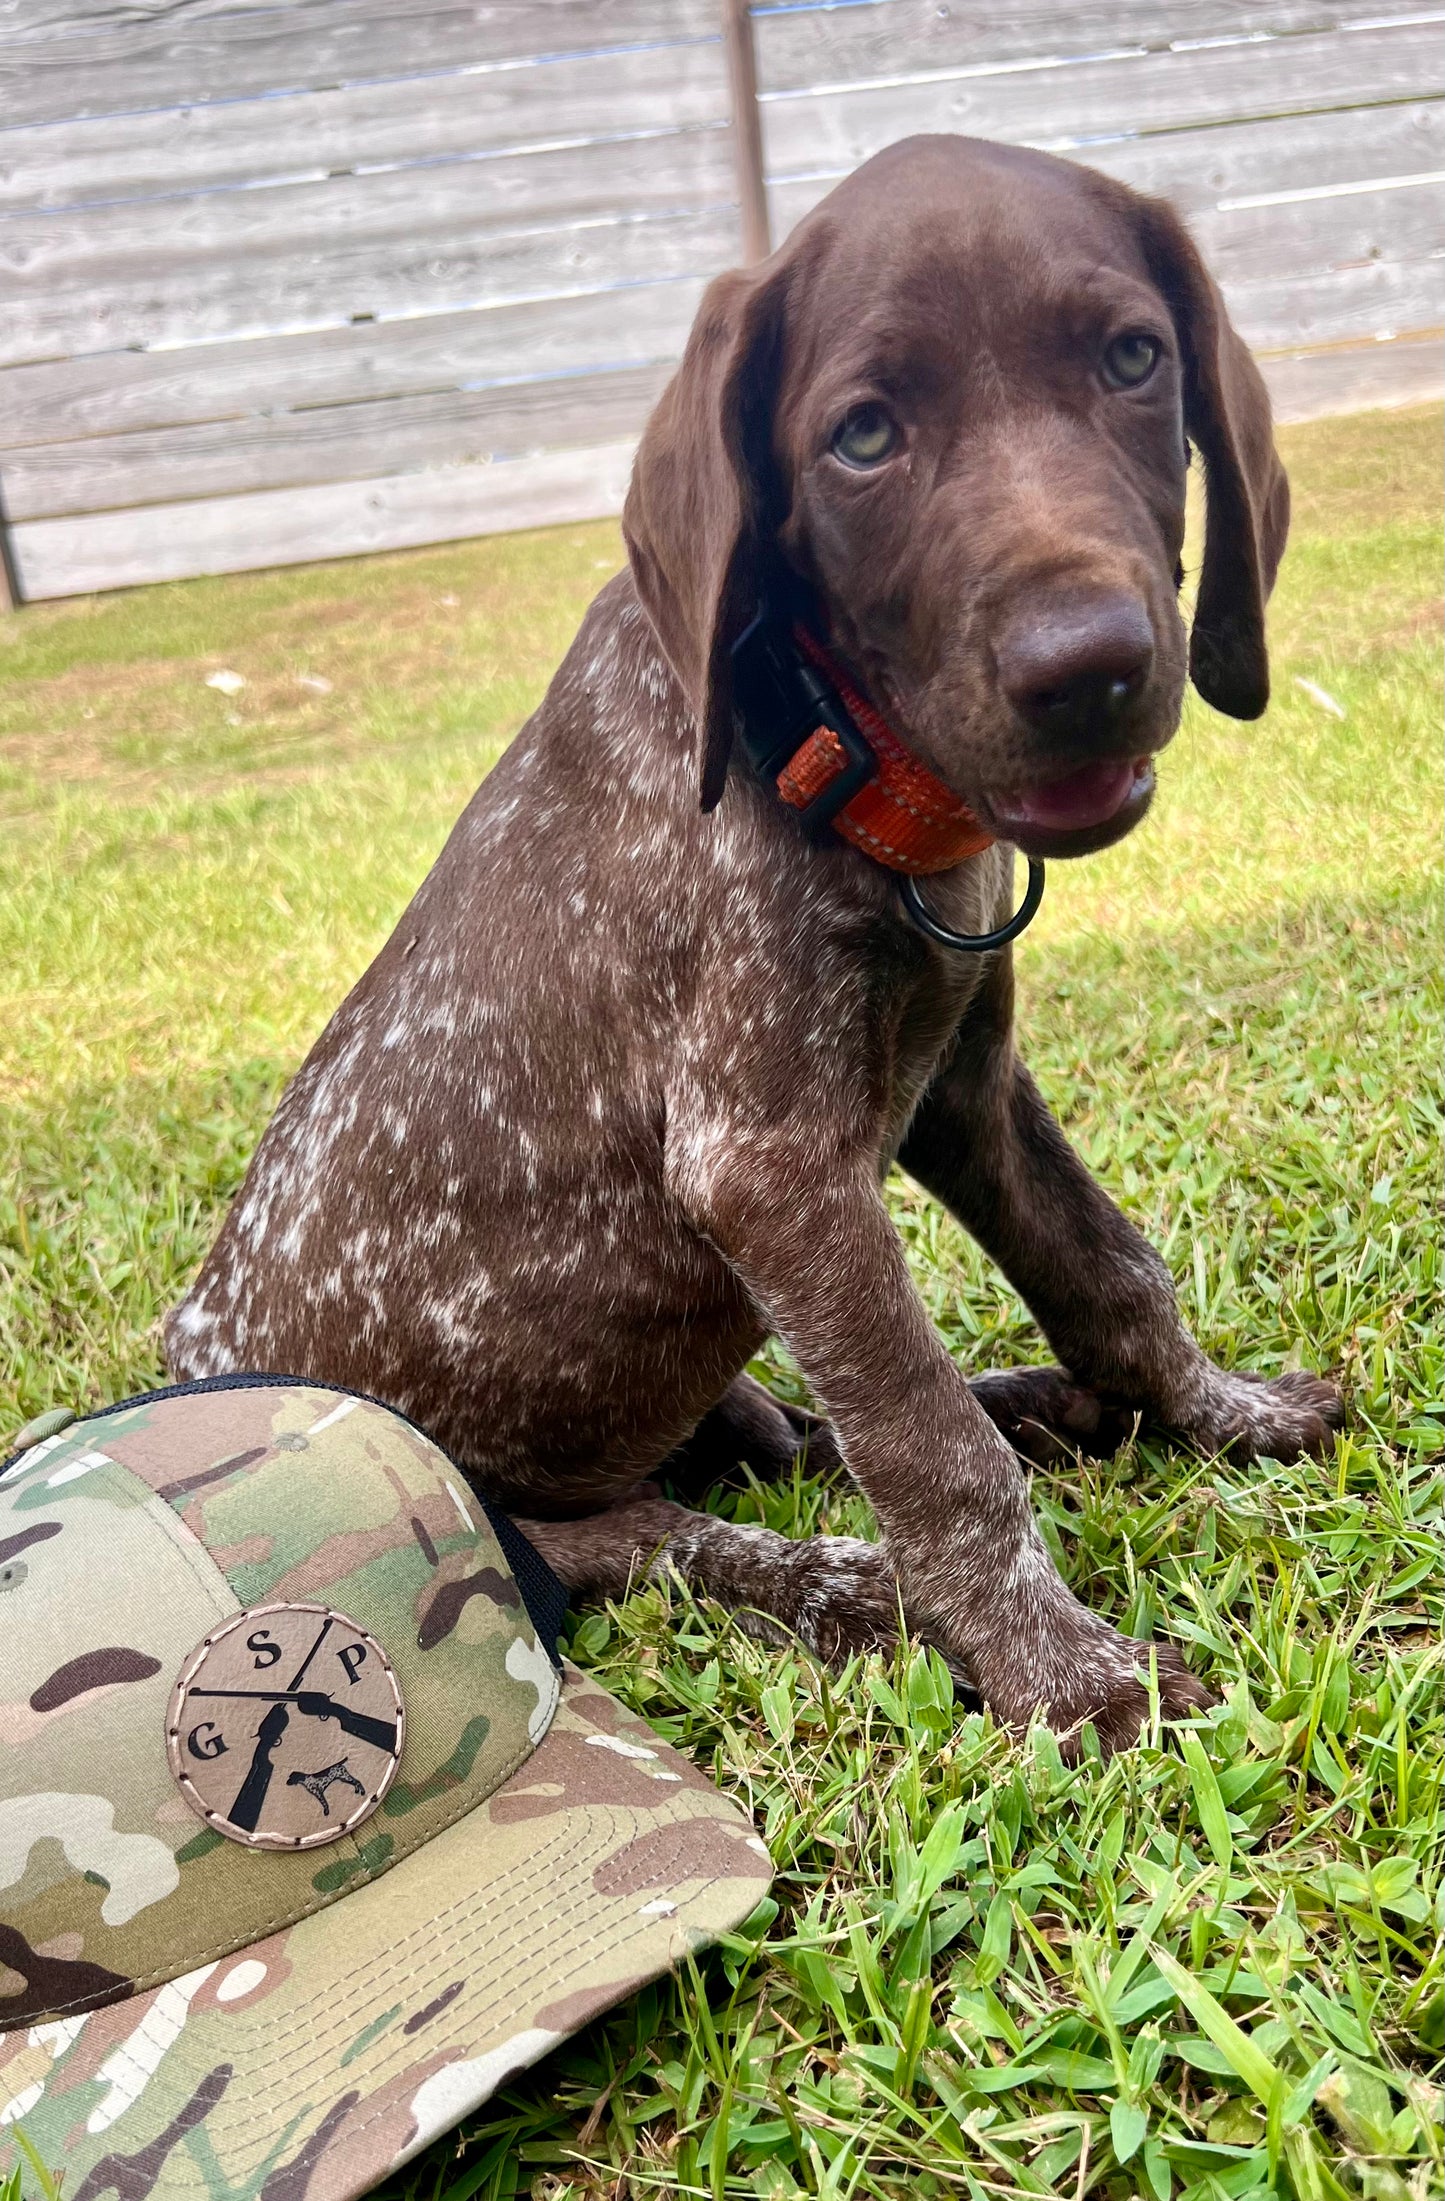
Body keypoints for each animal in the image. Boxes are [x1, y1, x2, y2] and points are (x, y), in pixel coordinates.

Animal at [169, 133, 1337, 1751]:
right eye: (862, 436)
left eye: (1129, 358)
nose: (1087, 670)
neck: (826, 734)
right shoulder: (767, 1166)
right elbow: (926, 1444)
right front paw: (1061, 1672)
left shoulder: (967, 1090)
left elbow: (1108, 1274)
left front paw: (1211, 1411)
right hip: (514, 1508)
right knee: (665, 1533)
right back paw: (863, 1586)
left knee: (790, 1437)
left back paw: (1042, 1405)